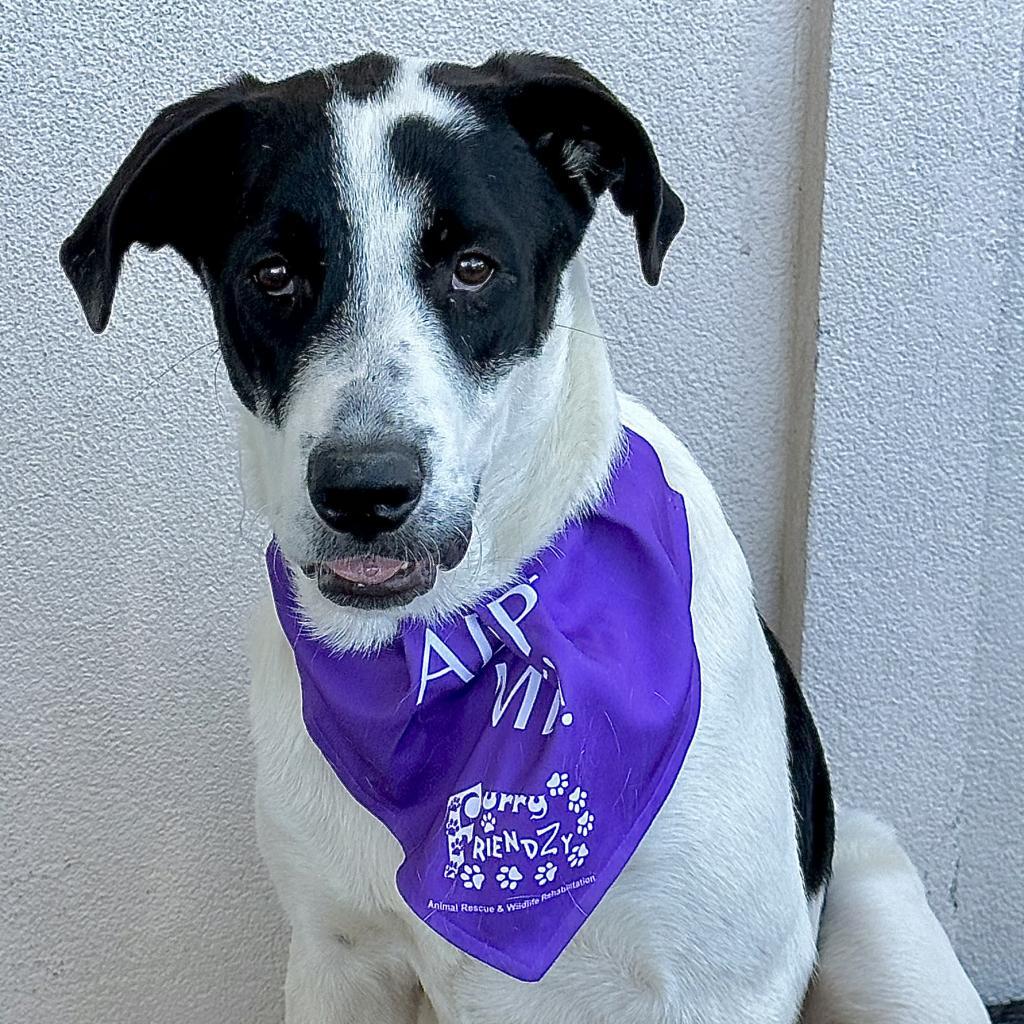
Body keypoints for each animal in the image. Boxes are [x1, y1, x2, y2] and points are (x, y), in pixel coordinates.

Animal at [61, 49, 991, 1024]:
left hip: (880, 906)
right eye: (272, 276)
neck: (452, 642)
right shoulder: (337, 959)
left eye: (474, 267)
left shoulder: (718, 986)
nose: (364, 490)